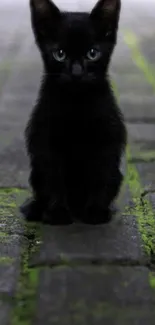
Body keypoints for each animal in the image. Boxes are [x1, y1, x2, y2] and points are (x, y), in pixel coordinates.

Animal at [20, 0, 126, 223]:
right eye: (60, 54)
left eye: (92, 53)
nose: (77, 73)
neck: (77, 104)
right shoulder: (46, 141)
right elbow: (53, 178)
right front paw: (57, 212)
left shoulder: (107, 138)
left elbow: (101, 176)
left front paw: (96, 211)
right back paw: (36, 208)